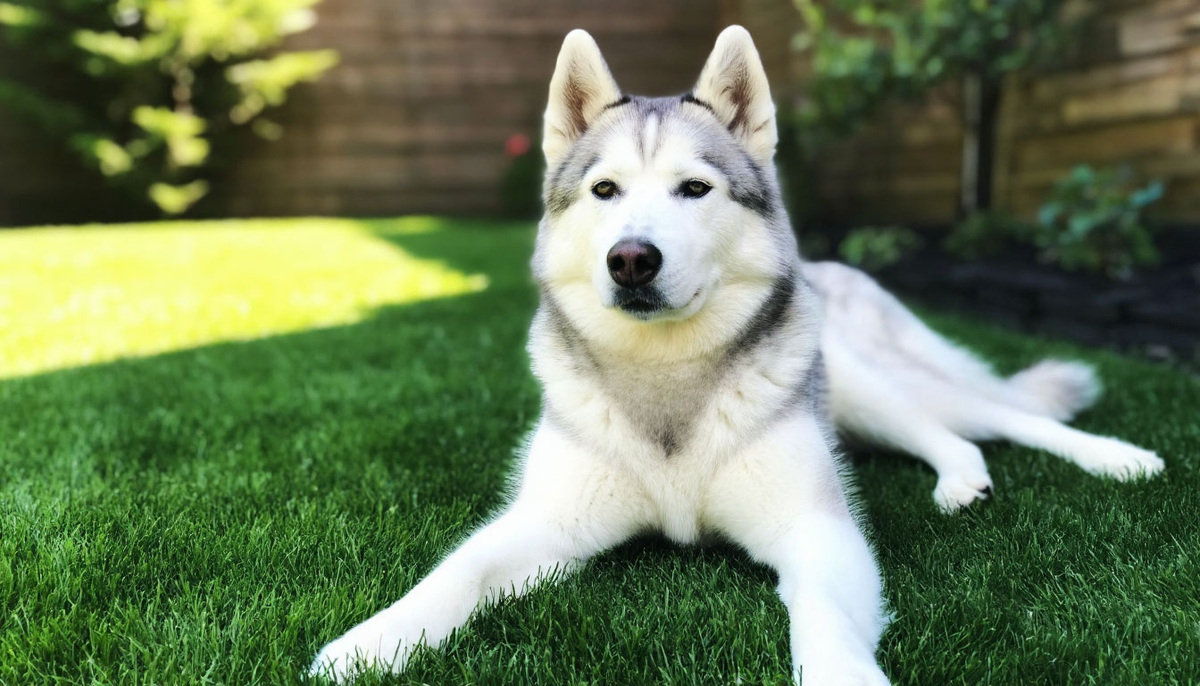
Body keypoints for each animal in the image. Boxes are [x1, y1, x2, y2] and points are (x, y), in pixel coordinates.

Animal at [310, 26, 1164, 684]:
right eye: (605, 191)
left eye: (694, 189)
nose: (631, 259)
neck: (668, 384)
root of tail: (830, 265)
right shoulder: (547, 522)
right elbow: (455, 572)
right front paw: (367, 643)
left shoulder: (816, 531)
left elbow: (822, 620)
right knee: (954, 433)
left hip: (865, 383)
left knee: (992, 419)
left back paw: (1112, 458)